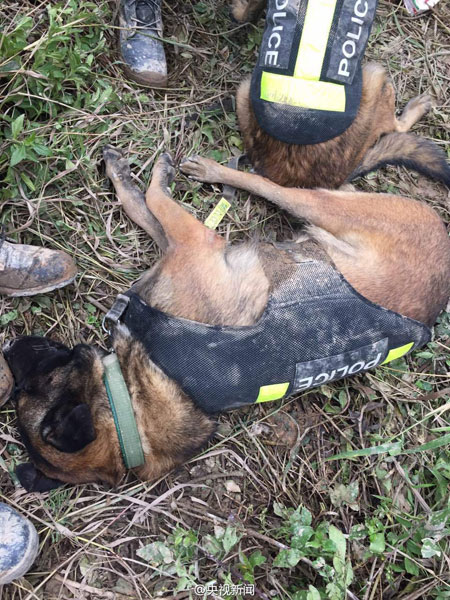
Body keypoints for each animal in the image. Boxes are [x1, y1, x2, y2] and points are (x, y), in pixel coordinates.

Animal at [4, 146, 450, 492]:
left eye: (35, 381)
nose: (10, 348)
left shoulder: (195, 243)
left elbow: (150, 200)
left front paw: (145, 174)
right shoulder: (181, 249)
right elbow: (144, 206)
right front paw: (129, 176)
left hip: (321, 207)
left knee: (273, 186)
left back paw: (213, 170)